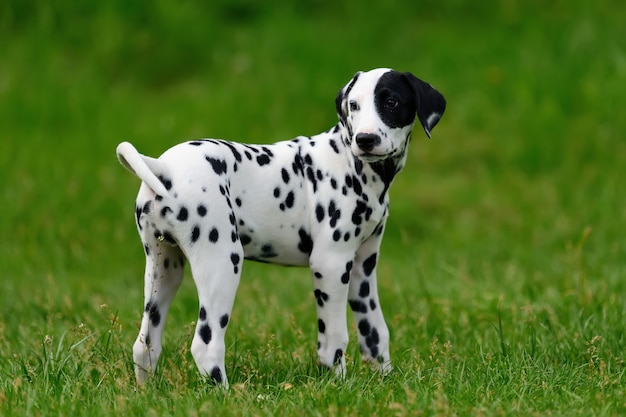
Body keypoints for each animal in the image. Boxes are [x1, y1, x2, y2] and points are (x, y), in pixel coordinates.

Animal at [116, 66, 444, 386]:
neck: (352, 164)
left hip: (164, 271)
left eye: (391, 102)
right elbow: (334, 339)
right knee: (206, 345)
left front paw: (386, 381)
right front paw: (338, 386)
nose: (365, 139)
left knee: (145, 344)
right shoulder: (331, 264)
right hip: (222, 263)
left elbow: (374, 331)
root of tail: (163, 167)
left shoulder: (363, 266)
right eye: (354, 106)